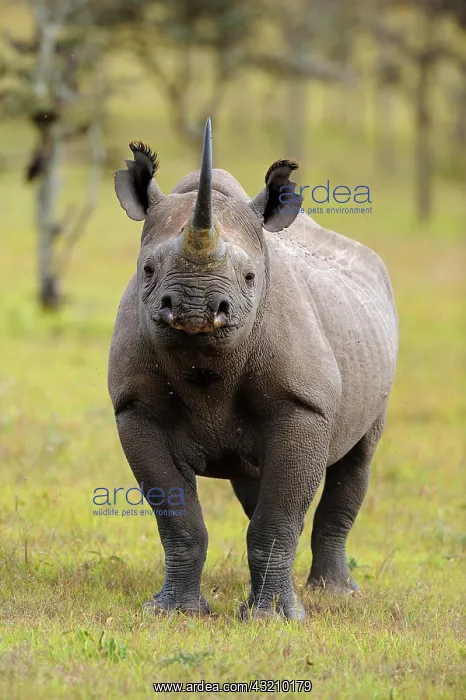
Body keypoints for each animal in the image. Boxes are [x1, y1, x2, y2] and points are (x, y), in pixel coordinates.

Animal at [108, 118, 398, 620]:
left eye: (249, 278)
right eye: (147, 270)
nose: (195, 308)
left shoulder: (303, 406)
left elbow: (278, 516)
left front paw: (275, 618)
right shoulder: (135, 408)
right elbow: (178, 519)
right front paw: (174, 612)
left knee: (357, 460)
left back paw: (334, 593)